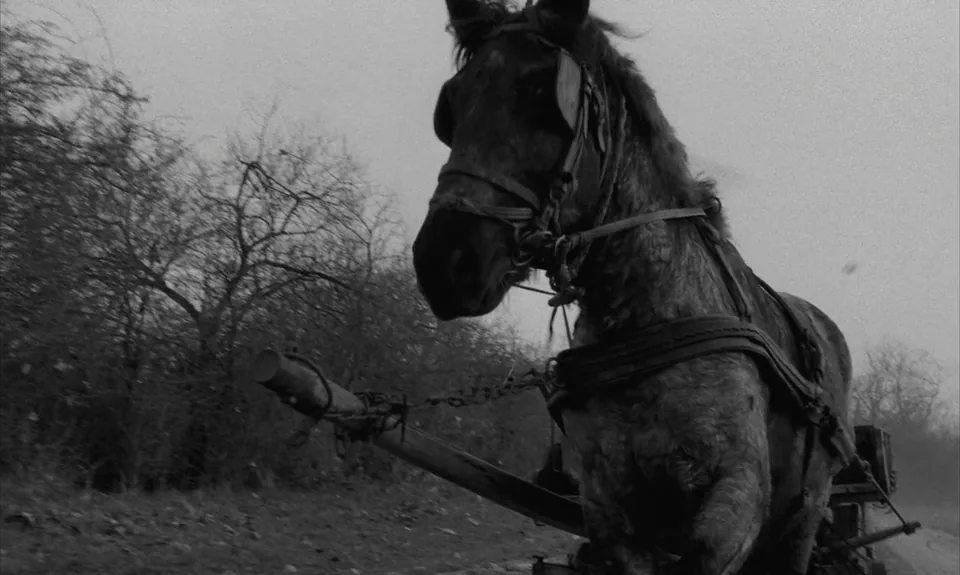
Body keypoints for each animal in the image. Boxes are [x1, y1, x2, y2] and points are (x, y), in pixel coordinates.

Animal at [411, 1, 855, 573]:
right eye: (453, 105)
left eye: (543, 96)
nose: (443, 261)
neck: (649, 317)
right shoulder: (610, 509)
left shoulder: (734, 503)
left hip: (805, 513)